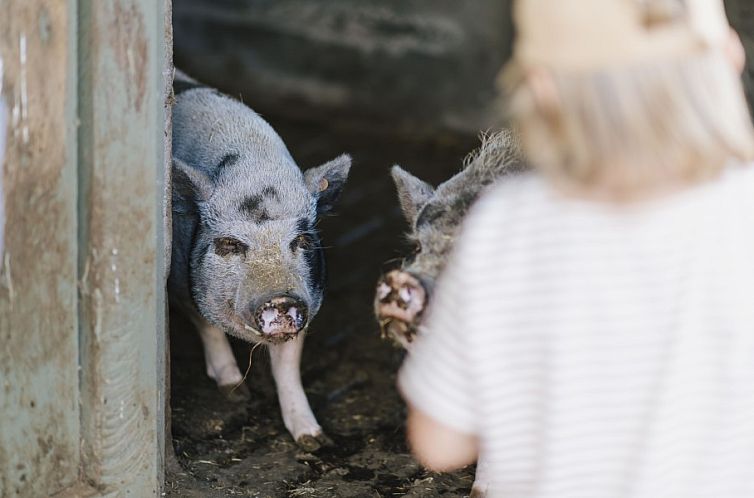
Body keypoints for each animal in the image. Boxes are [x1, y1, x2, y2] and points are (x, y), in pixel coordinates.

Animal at [170, 71, 350, 452]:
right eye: (229, 244)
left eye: (302, 240)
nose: (280, 298)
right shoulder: (182, 284)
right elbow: (208, 328)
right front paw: (234, 392)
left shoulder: (310, 302)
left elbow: (288, 367)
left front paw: (313, 440)